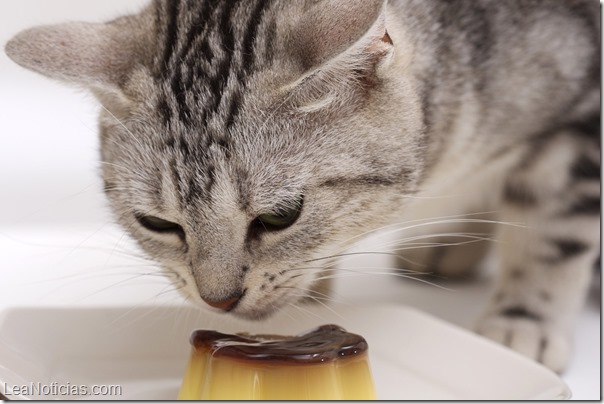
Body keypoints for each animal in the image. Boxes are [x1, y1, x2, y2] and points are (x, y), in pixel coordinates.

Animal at [4, 0, 600, 372]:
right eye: (157, 224)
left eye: (280, 216)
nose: (219, 301)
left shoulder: (579, 128)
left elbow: (552, 236)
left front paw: (524, 319)